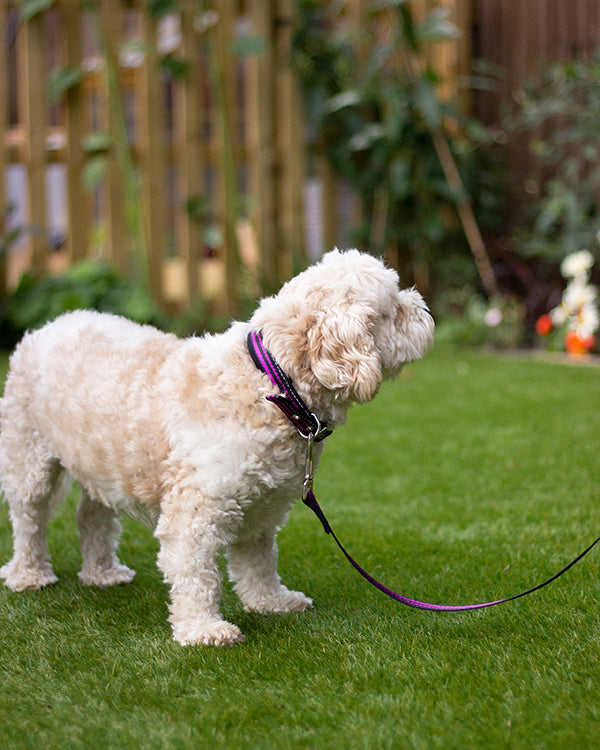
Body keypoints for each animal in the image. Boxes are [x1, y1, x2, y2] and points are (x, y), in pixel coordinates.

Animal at [0, 251, 432, 648]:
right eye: (394, 309)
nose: (423, 306)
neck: (272, 385)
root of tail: (50, 323)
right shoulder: (195, 512)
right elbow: (196, 574)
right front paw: (203, 629)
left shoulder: (263, 505)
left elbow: (259, 561)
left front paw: (270, 602)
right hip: (29, 457)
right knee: (29, 518)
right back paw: (29, 575)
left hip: (104, 463)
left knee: (91, 515)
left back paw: (102, 573)